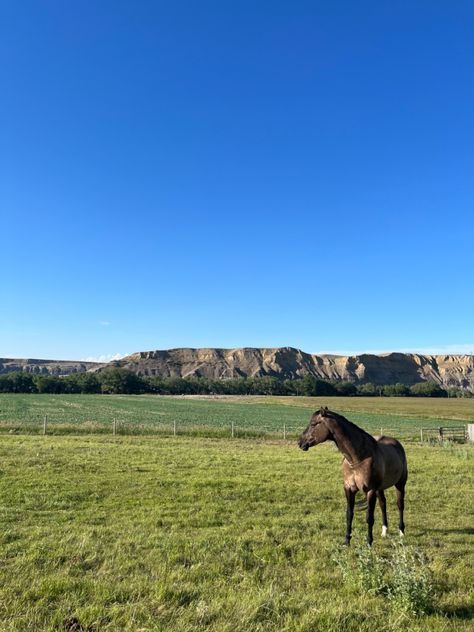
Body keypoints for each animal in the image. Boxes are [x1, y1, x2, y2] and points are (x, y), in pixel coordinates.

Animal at [300, 408, 408, 544]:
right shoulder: (349, 489)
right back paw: (384, 531)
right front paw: (347, 540)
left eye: (314, 424)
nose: (300, 442)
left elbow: (369, 517)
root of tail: (397, 444)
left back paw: (401, 532)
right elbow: (349, 514)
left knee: (400, 505)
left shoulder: (370, 491)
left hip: (400, 484)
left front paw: (369, 542)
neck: (358, 459)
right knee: (383, 504)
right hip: (380, 489)